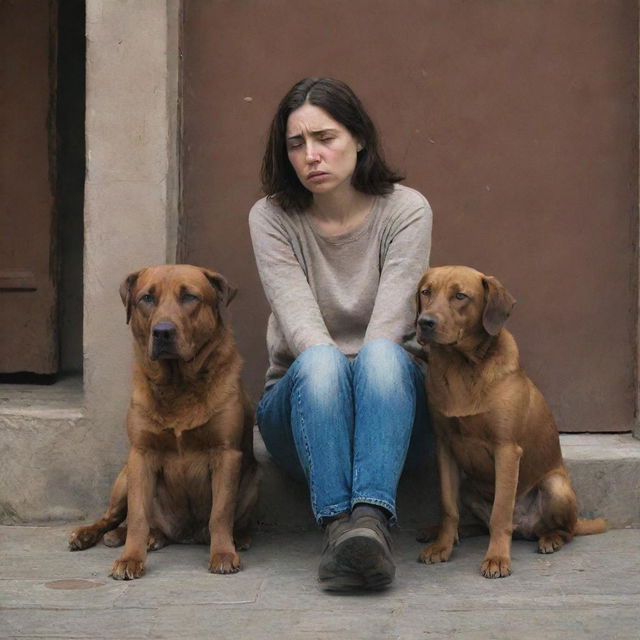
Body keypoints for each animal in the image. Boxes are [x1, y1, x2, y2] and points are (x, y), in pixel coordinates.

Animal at [69, 264, 258, 580]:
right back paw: (96, 534)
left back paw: (237, 537)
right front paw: (130, 558)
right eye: (146, 298)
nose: (163, 332)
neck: (178, 383)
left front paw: (222, 553)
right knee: (115, 517)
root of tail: (184, 535)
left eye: (190, 297)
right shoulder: (141, 454)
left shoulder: (226, 452)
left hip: (254, 478)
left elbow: (220, 513)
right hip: (125, 477)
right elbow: (138, 516)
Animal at [416, 268, 604, 576]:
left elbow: (500, 513)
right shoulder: (444, 446)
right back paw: (447, 533)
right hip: (468, 488)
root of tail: (524, 527)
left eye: (460, 296)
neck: (461, 366)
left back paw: (551, 539)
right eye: (426, 292)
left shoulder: (506, 449)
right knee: (479, 523)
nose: (424, 322)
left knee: (564, 530)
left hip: (555, 487)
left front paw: (496, 557)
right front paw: (442, 545)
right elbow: (448, 507)